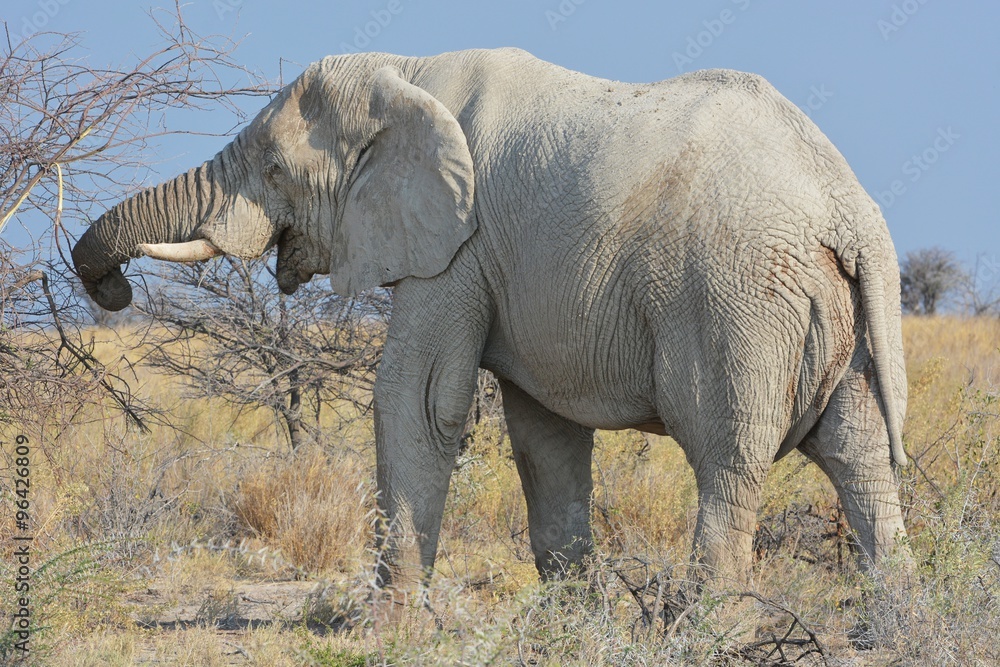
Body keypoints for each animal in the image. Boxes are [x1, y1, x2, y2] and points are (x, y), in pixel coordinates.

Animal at [72, 48, 910, 585]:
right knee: (861, 461)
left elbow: (417, 399)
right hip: (835, 312)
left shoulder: (460, 245)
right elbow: (543, 435)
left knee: (727, 462)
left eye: (276, 171)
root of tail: (849, 209)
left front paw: (392, 632)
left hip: (739, 301)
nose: (114, 293)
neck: (406, 73)